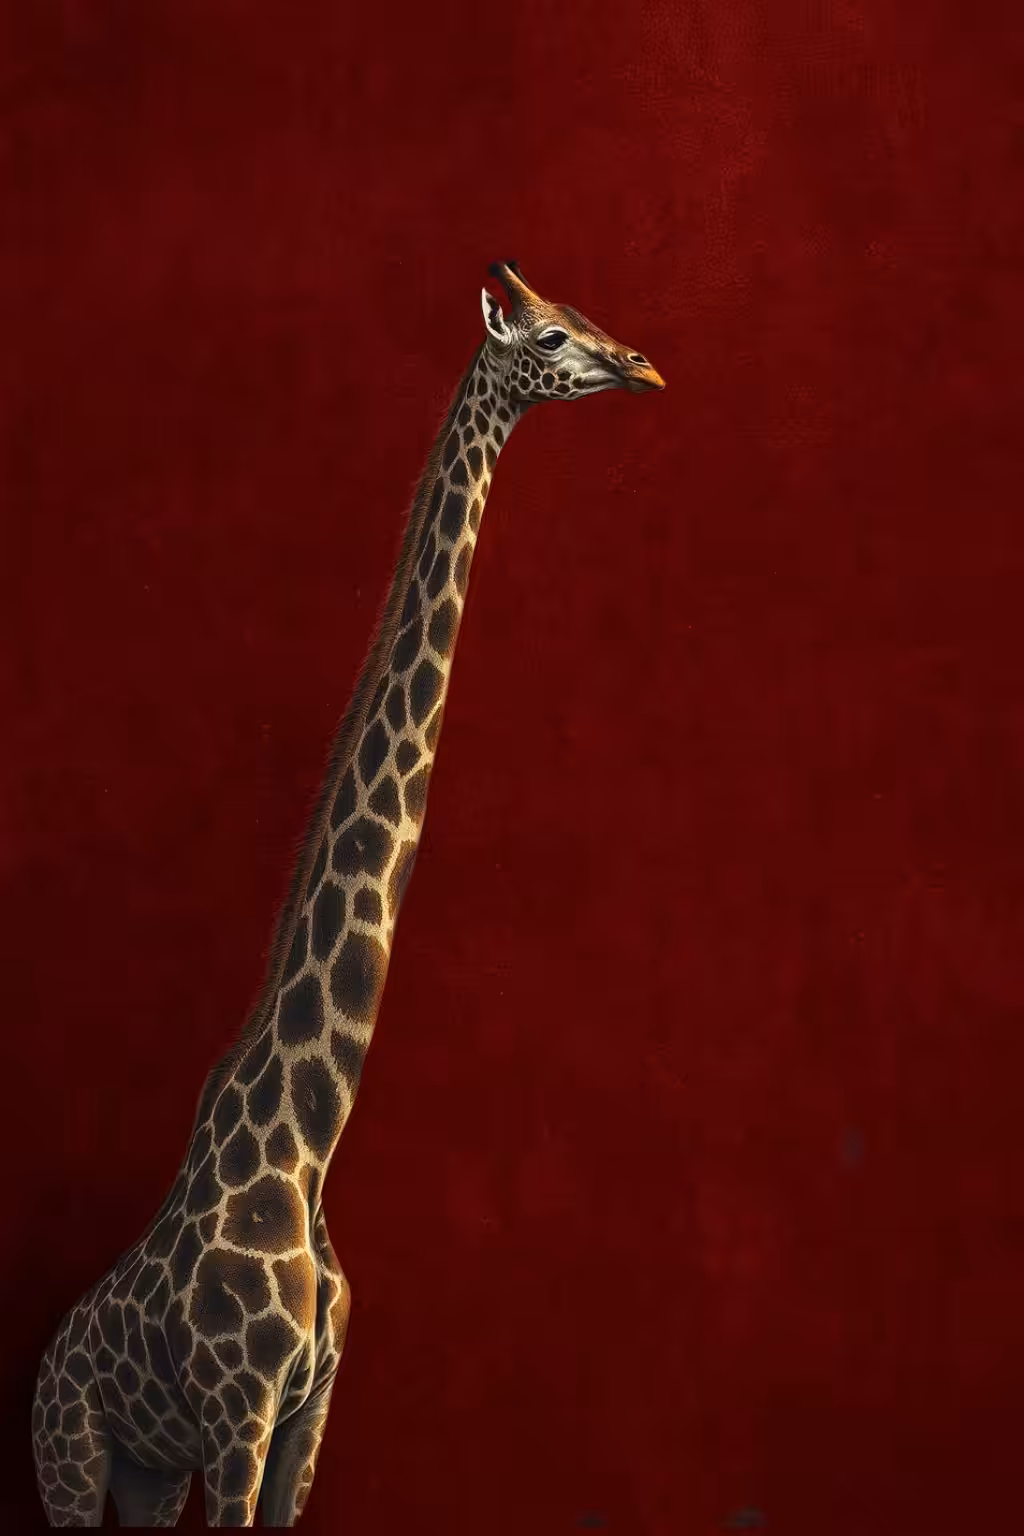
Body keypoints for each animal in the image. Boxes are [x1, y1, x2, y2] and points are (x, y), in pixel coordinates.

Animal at [32, 261, 665, 1528]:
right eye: (551, 337)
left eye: (586, 320)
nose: (641, 365)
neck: (302, 1150)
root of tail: (49, 1356)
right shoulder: (241, 1413)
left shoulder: (307, 1414)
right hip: (71, 1452)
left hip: (143, 1468)